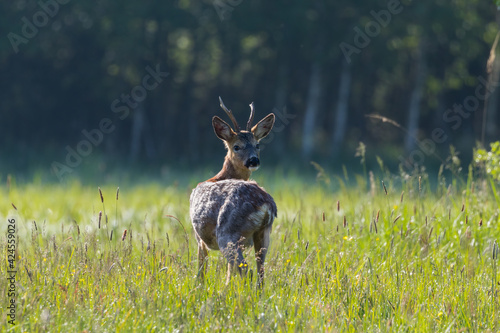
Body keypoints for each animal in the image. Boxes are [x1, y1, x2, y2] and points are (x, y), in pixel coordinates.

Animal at [190, 96, 278, 286]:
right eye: (237, 146)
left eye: (257, 145)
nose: (253, 160)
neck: (218, 176)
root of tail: (265, 205)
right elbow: (229, 273)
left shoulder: (199, 237)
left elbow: (201, 269)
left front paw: (198, 288)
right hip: (263, 234)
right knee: (260, 273)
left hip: (227, 234)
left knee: (247, 270)